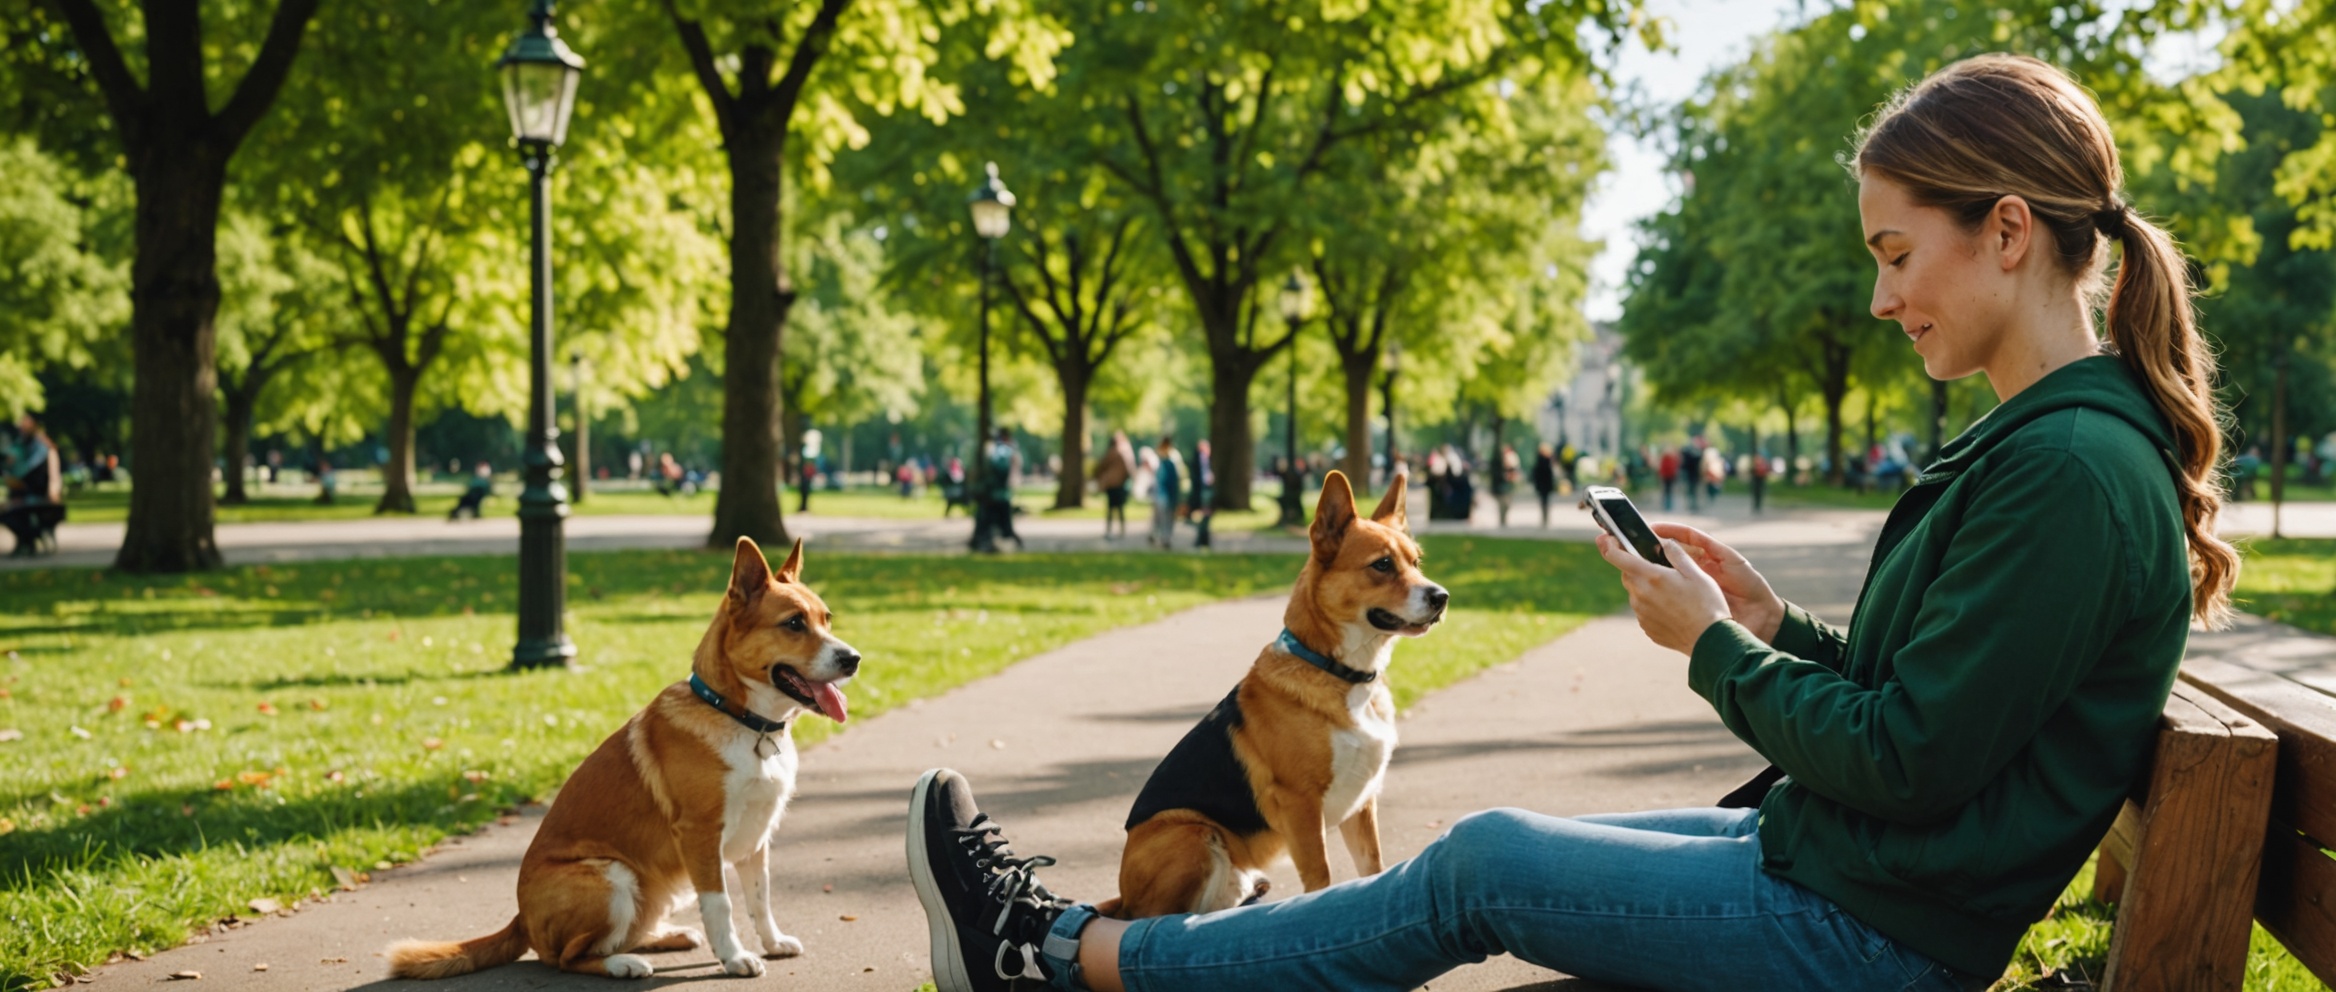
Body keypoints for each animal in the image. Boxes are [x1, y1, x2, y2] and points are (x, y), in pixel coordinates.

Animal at [383, 536, 859, 980]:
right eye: (794, 623)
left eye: (827, 619)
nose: (853, 658)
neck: (742, 718)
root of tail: (521, 920)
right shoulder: (700, 835)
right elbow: (721, 905)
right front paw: (735, 957)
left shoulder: (756, 838)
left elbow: (761, 899)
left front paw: (773, 943)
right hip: (613, 877)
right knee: (567, 957)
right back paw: (623, 965)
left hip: (655, 889)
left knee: (615, 938)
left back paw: (666, 936)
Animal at [1093, 466, 1438, 914]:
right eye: (1381, 565)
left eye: (1416, 562)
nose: (1442, 597)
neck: (1339, 672)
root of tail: (1125, 895)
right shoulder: (1300, 805)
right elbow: (1320, 876)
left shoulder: (1362, 805)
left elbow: (1373, 869)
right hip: (1191, 832)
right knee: (1151, 917)